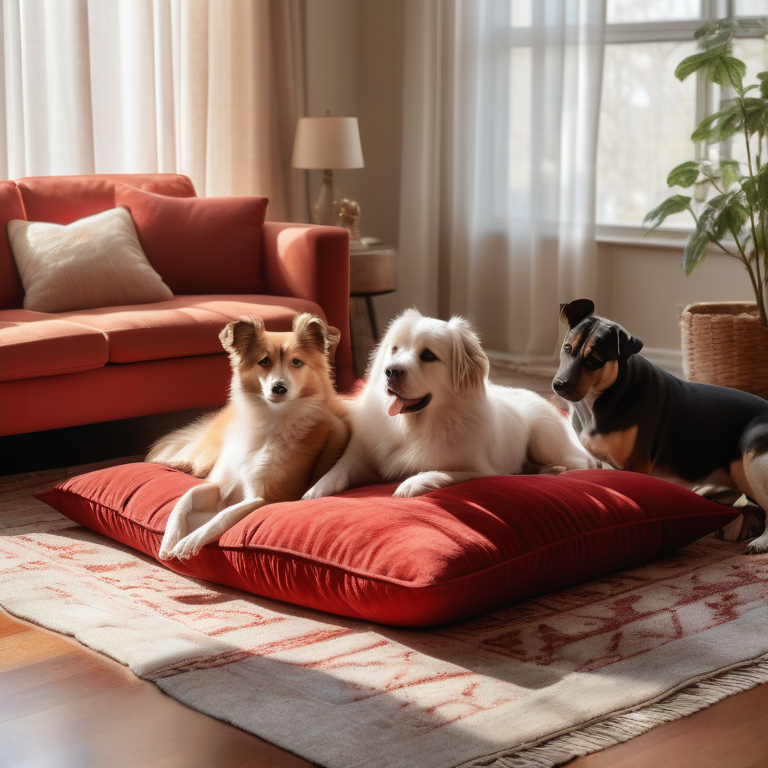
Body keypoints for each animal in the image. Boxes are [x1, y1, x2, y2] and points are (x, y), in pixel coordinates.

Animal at [146, 312, 352, 560]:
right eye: (264, 361)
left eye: (297, 362)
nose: (279, 388)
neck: (268, 419)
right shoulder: (220, 483)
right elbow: (186, 497)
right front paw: (170, 537)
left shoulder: (269, 496)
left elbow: (223, 515)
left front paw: (189, 541)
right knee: (192, 458)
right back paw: (178, 463)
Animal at [304, 308, 596, 500]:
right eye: (395, 349)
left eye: (428, 356)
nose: (391, 371)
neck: (412, 426)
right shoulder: (360, 455)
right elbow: (338, 470)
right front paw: (314, 491)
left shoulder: (479, 469)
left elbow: (439, 472)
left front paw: (410, 485)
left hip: (545, 440)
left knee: (583, 463)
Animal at [552, 296, 768, 556]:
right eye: (567, 348)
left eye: (594, 361)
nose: (559, 385)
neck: (604, 396)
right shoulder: (603, 463)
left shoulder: (636, 465)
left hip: (752, 456)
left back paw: (761, 541)